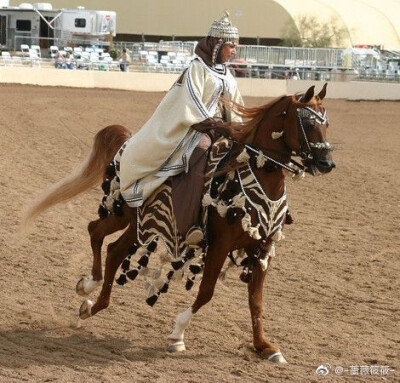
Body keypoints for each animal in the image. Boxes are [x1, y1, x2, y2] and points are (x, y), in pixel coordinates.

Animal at [25, 83, 334, 364]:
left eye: (327, 122)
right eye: (308, 122)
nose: (327, 163)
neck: (255, 173)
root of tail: (126, 145)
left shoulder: (262, 249)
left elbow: (256, 302)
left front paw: (265, 347)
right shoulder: (220, 245)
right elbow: (207, 292)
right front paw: (178, 333)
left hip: (139, 226)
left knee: (112, 249)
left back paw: (91, 301)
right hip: (124, 213)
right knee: (97, 233)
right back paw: (90, 289)